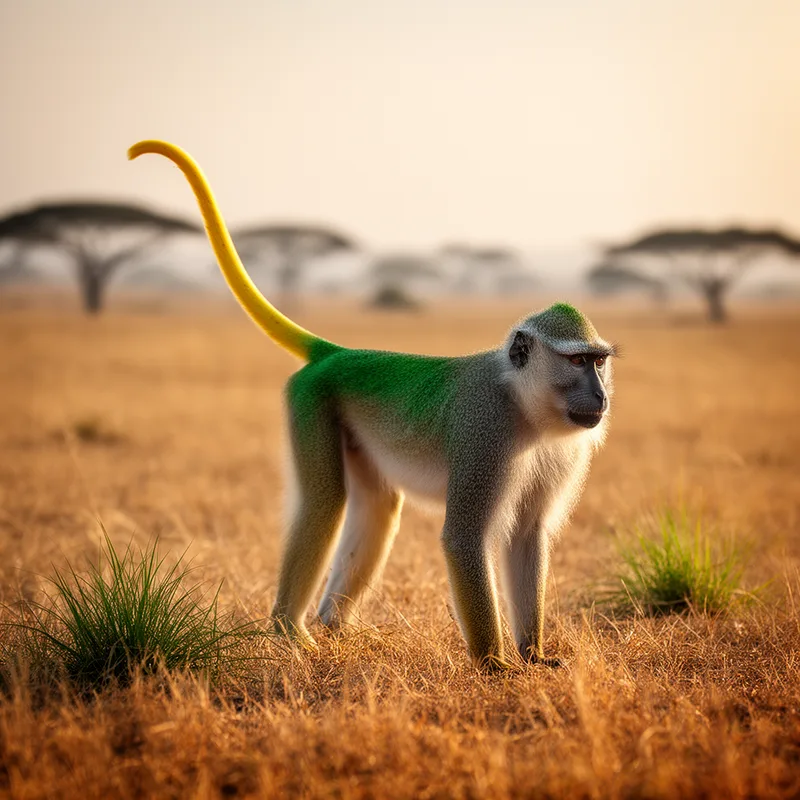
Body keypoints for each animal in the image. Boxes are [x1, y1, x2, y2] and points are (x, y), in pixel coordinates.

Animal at [128, 140, 617, 670]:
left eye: (599, 361)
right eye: (578, 362)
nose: (601, 396)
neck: (524, 406)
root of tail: (337, 353)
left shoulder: (561, 452)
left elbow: (527, 534)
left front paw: (534, 655)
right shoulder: (484, 431)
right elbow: (464, 539)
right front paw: (495, 665)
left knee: (379, 508)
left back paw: (333, 626)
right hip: (312, 401)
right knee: (324, 503)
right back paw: (290, 631)